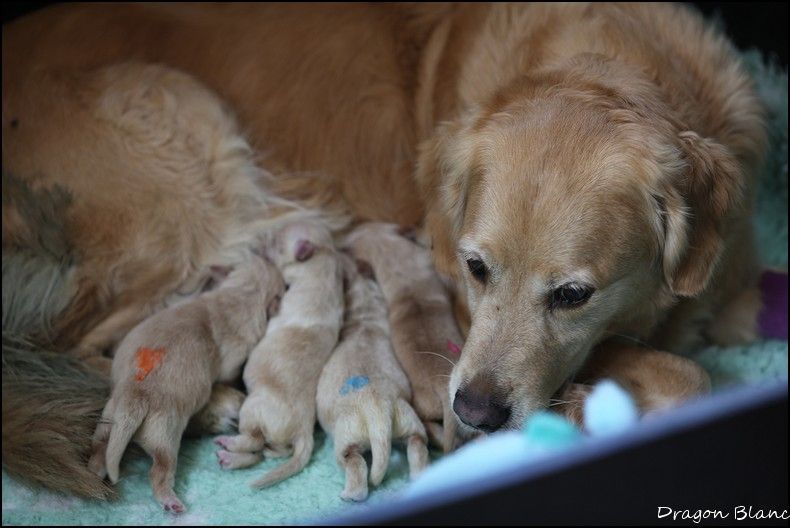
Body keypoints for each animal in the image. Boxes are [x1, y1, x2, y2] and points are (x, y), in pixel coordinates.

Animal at [88, 254, 284, 512]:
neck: (239, 292)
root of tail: (135, 395)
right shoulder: (235, 358)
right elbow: (230, 374)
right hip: (165, 438)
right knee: (159, 470)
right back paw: (170, 501)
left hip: (107, 418)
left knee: (99, 448)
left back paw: (94, 472)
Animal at [215, 219, 344, 486]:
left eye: (275, 242)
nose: (260, 240)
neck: (324, 260)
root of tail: (305, 431)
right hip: (275, 437)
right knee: (269, 451)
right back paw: (234, 458)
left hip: (252, 408)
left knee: (253, 439)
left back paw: (229, 445)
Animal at [318, 254, 430, 502]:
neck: (364, 315)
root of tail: (377, 406)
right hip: (408, 418)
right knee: (417, 444)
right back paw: (420, 477)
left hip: (346, 435)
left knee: (355, 464)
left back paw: (350, 495)